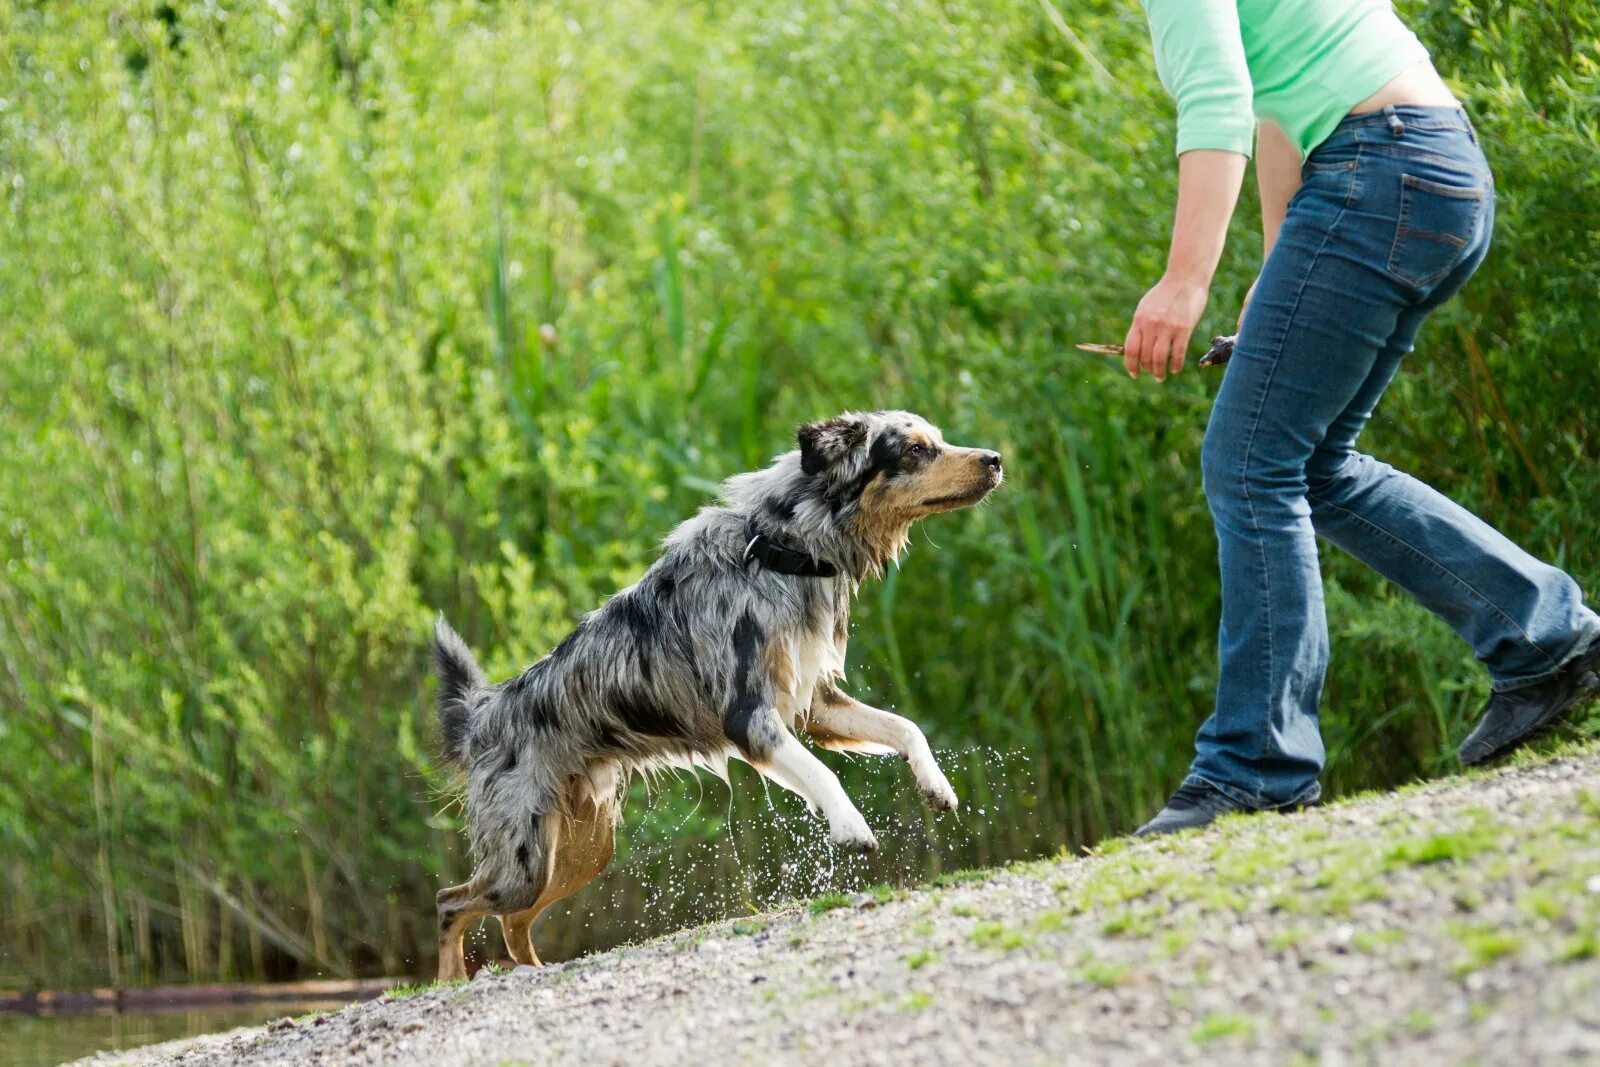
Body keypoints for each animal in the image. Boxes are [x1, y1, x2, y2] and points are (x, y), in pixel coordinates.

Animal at [432, 412, 1004, 979]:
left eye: (938, 439)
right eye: (913, 450)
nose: (996, 458)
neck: (784, 553)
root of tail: (483, 716)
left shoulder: (817, 705)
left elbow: (906, 728)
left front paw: (936, 786)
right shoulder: (750, 717)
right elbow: (823, 774)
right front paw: (850, 825)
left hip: (580, 850)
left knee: (511, 920)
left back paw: (533, 970)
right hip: (523, 860)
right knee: (451, 902)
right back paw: (452, 980)